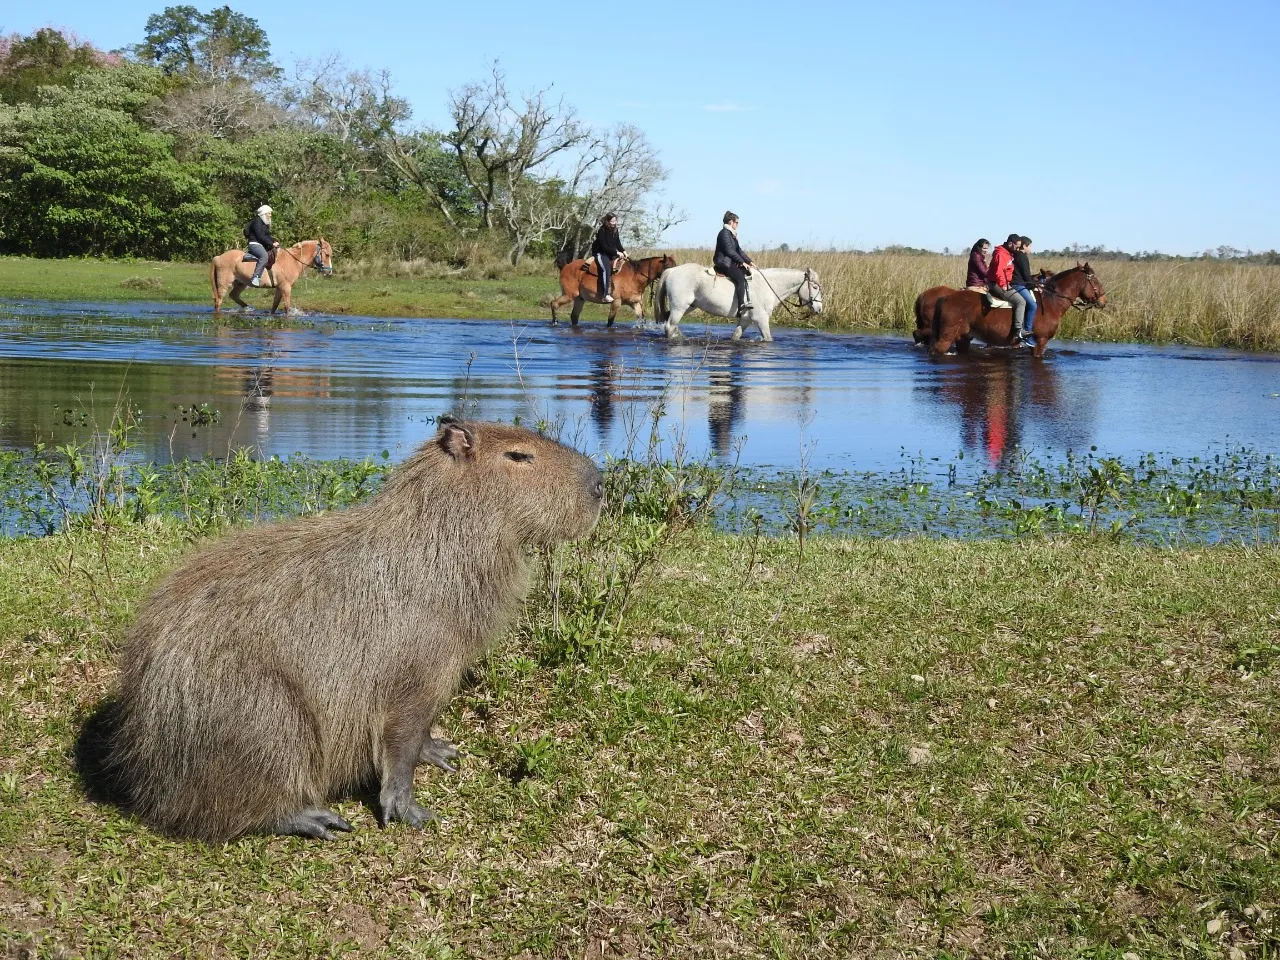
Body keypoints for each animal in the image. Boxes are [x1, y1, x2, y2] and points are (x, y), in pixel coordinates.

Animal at [653, 264, 824, 341]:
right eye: (815, 287)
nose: (819, 309)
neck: (769, 286)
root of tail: (672, 270)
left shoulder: (745, 320)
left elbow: (736, 336)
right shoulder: (761, 320)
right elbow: (768, 338)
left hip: (689, 307)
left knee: (670, 324)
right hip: (679, 308)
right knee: (669, 326)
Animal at [925, 264, 1106, 358]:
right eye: (1096, 281)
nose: (1104, 301)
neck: (1051, 301)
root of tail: (945, 297)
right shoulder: (1040, 341)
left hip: (963, 338)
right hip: (946, 337)